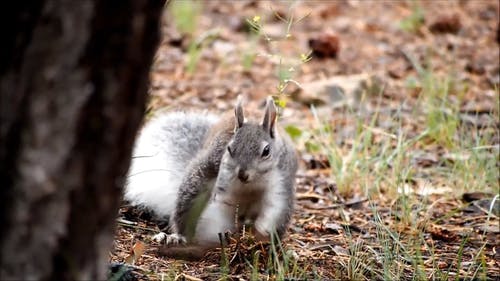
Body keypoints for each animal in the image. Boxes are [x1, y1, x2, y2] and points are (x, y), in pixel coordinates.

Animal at [124, 95, 296, 247]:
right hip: (198, 181)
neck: (251, 184)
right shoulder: (224, 186)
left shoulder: (279, 185)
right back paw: (179, 236)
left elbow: (273, 209)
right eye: (229, 148)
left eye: (266, 151)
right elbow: (222, 210)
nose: (242, 174)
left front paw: (261, 231)